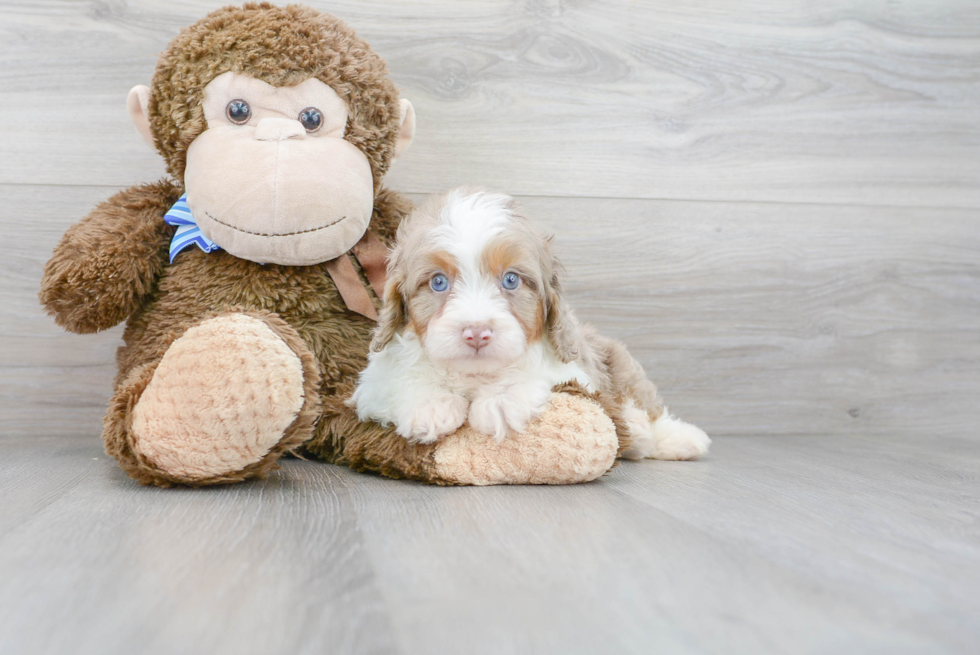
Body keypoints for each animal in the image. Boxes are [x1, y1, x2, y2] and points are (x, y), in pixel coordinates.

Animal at [348, 190, 708, 462]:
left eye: (511, 280)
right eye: (438, 282)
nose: (476, 333)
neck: (474, 375)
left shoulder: (574, 369)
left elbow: (536, 373)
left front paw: (500, 401)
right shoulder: (371, 385)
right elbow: (396, 379)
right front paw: (430, 405)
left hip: (618, 362)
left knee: (646, 407)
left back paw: (672, 436)